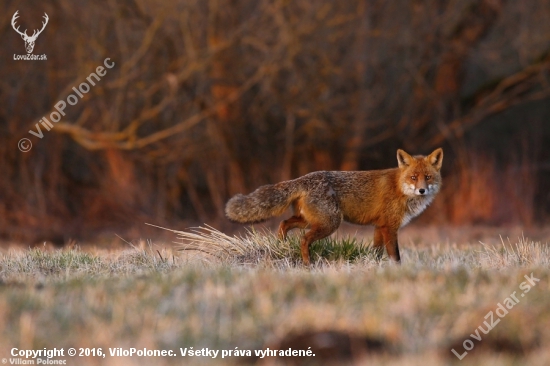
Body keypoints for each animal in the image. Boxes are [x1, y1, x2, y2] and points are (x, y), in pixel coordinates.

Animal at [226, 147, 446, 264]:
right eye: (413, 177)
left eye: (427, 177)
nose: (422, 190)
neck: (400, 188)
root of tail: (303, 178)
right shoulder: (389, 227)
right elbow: (396, 256)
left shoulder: (379, 226)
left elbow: (376, 252)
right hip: (329, 223)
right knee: (304, 239)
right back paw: (307, 264)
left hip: (309, 220)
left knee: (284, 223)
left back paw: (280, 246)